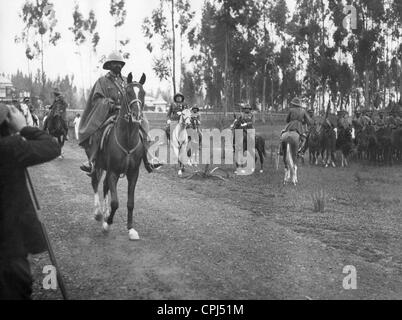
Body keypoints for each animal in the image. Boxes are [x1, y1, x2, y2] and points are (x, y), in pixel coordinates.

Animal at [90, 72, 146, 240]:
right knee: (95, 183)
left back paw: (105, 211)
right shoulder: (113, 172)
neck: (127, 140)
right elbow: (116, 202)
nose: (136, 115)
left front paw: (131, 229)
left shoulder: (133, 173)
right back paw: (98, 213)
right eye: (128, 93)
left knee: (104, 186)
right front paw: (107, 224)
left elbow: (130, 203)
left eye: (143, 93)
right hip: (97, 165)